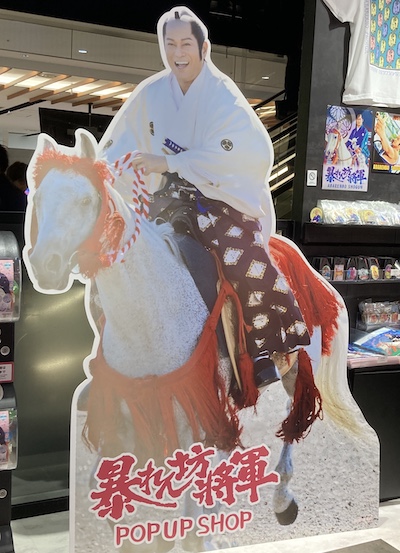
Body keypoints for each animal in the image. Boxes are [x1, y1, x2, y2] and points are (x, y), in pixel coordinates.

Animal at [23, 130, 369, 552]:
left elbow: (189, 526)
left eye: (87, 201)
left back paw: (282, 497)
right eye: (38, 200)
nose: (46, 265)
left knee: (293, 417)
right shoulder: (131, 419)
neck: (149, 318)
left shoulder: (196, 417)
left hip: (300, 365)